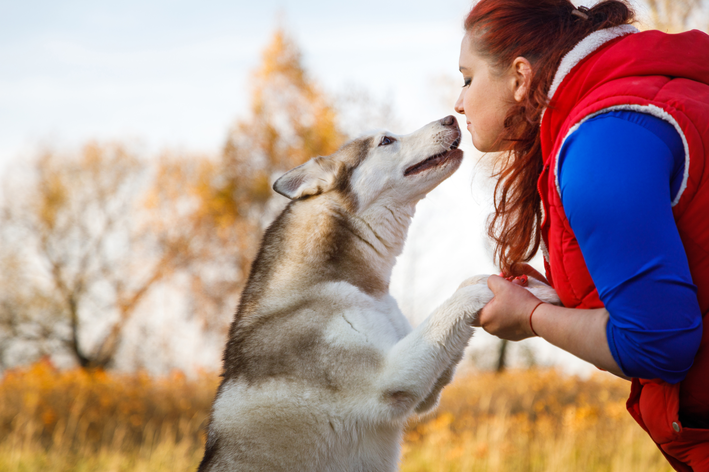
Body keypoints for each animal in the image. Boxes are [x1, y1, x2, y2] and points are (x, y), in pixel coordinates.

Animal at [195, 115, 560, 472]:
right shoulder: (389, 379)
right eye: (386, 140)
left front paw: (531, 286)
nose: (452, 119)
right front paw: (510, 292)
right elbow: (453, 304)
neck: (365, 287)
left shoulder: (424, 388)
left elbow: (462, 291)